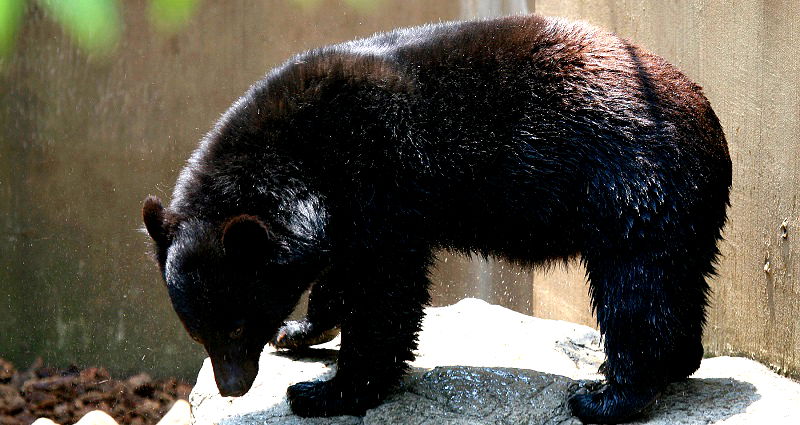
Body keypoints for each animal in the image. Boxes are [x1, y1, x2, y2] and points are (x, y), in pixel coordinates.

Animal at [142, 14, 732, 422]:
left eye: (240, 322)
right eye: (196, 331)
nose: (233, 386)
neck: (304, 157)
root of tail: (712, 126)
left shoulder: (380, 177)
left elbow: (385, 291)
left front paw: (325, 391)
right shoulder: (347, 210)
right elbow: (345, 272)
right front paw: (299, 331)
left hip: (633, 190)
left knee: (637, 289)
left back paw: (607, 396)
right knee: (679, 282)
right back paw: (675, 362)